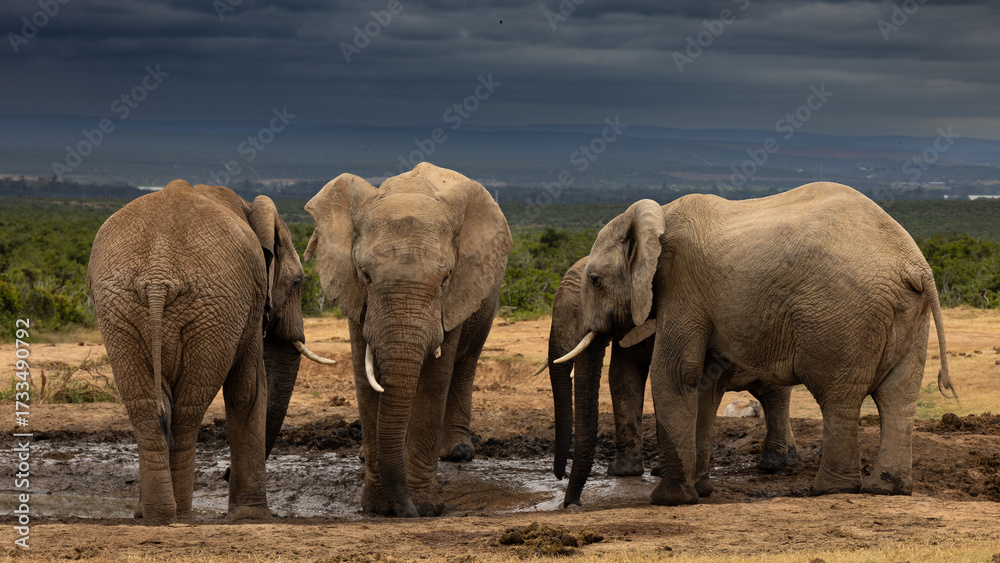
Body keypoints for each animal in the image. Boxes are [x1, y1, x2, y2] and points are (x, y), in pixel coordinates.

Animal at [88, 180, 333, 525]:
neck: (247, 206)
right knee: (188, 412)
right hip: (209, 311)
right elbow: (248, 388)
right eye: (298, 282)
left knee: (148, 407)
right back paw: (179, 516)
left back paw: (156, 516)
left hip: (123, 309)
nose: (224, 474)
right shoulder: (252, 300)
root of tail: (157, 278)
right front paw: (252, 518)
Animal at [303, 162, 512, 517]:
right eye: (365, 275)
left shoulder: (453, 299)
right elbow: (364, 378)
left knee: (466, 363)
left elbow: (434, 382)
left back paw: (458, 452)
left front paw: (425, 508)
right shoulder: (355, 296)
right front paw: (378, 507)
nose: (406, 511)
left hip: (486, 300)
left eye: (445, 279)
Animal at [539, 256, 796, 507]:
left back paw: (772, 464)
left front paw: (656, 471)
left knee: (774, 396)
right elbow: (622, 378)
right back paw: (790, 457)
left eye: (577, 311)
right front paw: (623, 472)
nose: (571, 500)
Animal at [567, 182, 956, 506]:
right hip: (908, 313)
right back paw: (886, 488)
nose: (572, 505)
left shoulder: (682, 284)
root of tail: (915, 264)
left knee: (838, 397)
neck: (656, 216)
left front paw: (670, 500)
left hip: (843, 314)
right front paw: (701, 492)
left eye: (595, 280)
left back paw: (831, 489)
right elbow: (704, 382)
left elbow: (676, 373)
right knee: (897, 396)